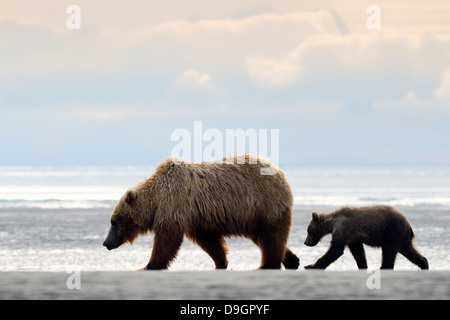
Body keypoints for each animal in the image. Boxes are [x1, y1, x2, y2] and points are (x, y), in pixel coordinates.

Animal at [102, 154, 298, 270]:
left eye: (114, 221)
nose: (106, 243)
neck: (156, 199)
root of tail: (280, 172)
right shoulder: (197, 217)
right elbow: (210, 241)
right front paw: (221, 262)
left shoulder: (175, 206)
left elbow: (167, 241)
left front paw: (148, 265)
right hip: (253, 215)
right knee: (262, 237)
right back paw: (292, 259)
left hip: (265, 204)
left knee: (271, 237)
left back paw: (267, 265)